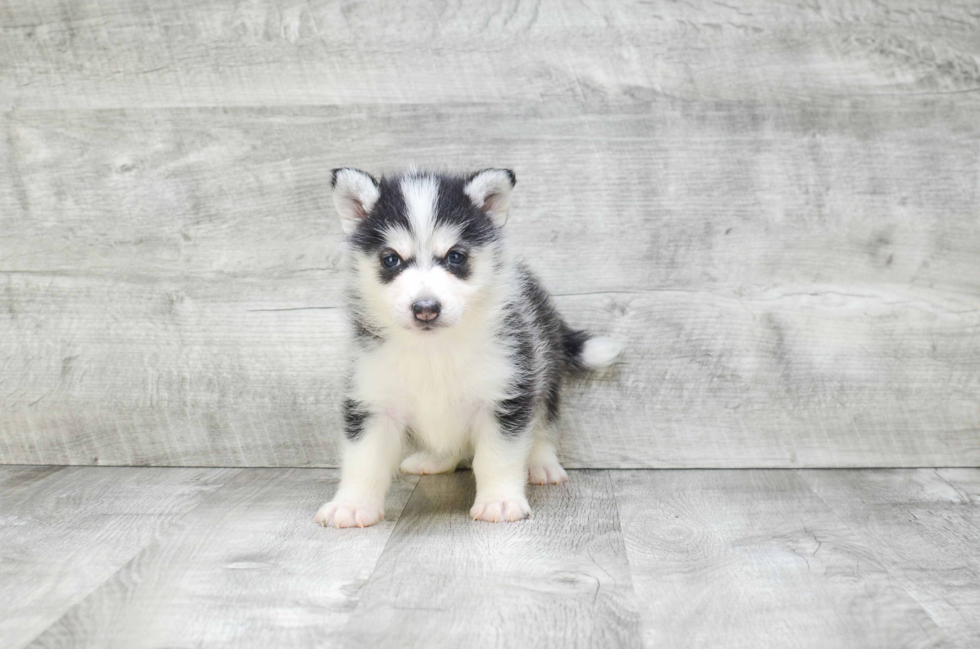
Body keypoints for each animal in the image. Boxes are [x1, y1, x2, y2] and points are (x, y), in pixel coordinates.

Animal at [314, 166, 620, 528]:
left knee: (544, 422)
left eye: (455, 257)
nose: (426, 308)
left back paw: (542, 464)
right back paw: (433, 459)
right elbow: (364, 460)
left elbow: (497, 459)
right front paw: (351, 505)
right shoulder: (373, 401)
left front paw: (499, 501)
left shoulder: (504, 396)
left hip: (542, 367)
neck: (433, 351)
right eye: (391, 260)